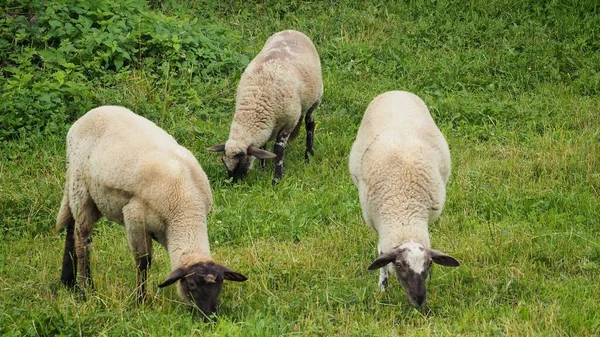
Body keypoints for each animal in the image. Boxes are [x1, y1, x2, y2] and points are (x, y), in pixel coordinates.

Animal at [54, 105, 246, 318]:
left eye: (220, 284)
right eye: (192, 284)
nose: (210, 316)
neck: (185, 210)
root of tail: (92, 112)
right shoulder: (135, 219)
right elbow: (143, 263)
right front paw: (140, 302)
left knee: (71, 228)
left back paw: (68, 282)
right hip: (81, 188)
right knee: (82, 240)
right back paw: (87, 290)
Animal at [211, 29, 324, 184]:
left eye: (241, 162)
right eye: (223, 161)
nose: (235, 184)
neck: (255, 105)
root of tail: (292, 30)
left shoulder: (288, 124)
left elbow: (278, 151)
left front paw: (277, 178)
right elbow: (262, 147)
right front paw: (262, 167)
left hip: (315, 99)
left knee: (310, 124)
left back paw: (309, 154)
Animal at [346, 90, 460, 308]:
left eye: (429, 264)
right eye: (399, 264)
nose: (419, 299)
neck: (404, 212)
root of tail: (396, 91)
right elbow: (381, 256)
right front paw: (383, 288)